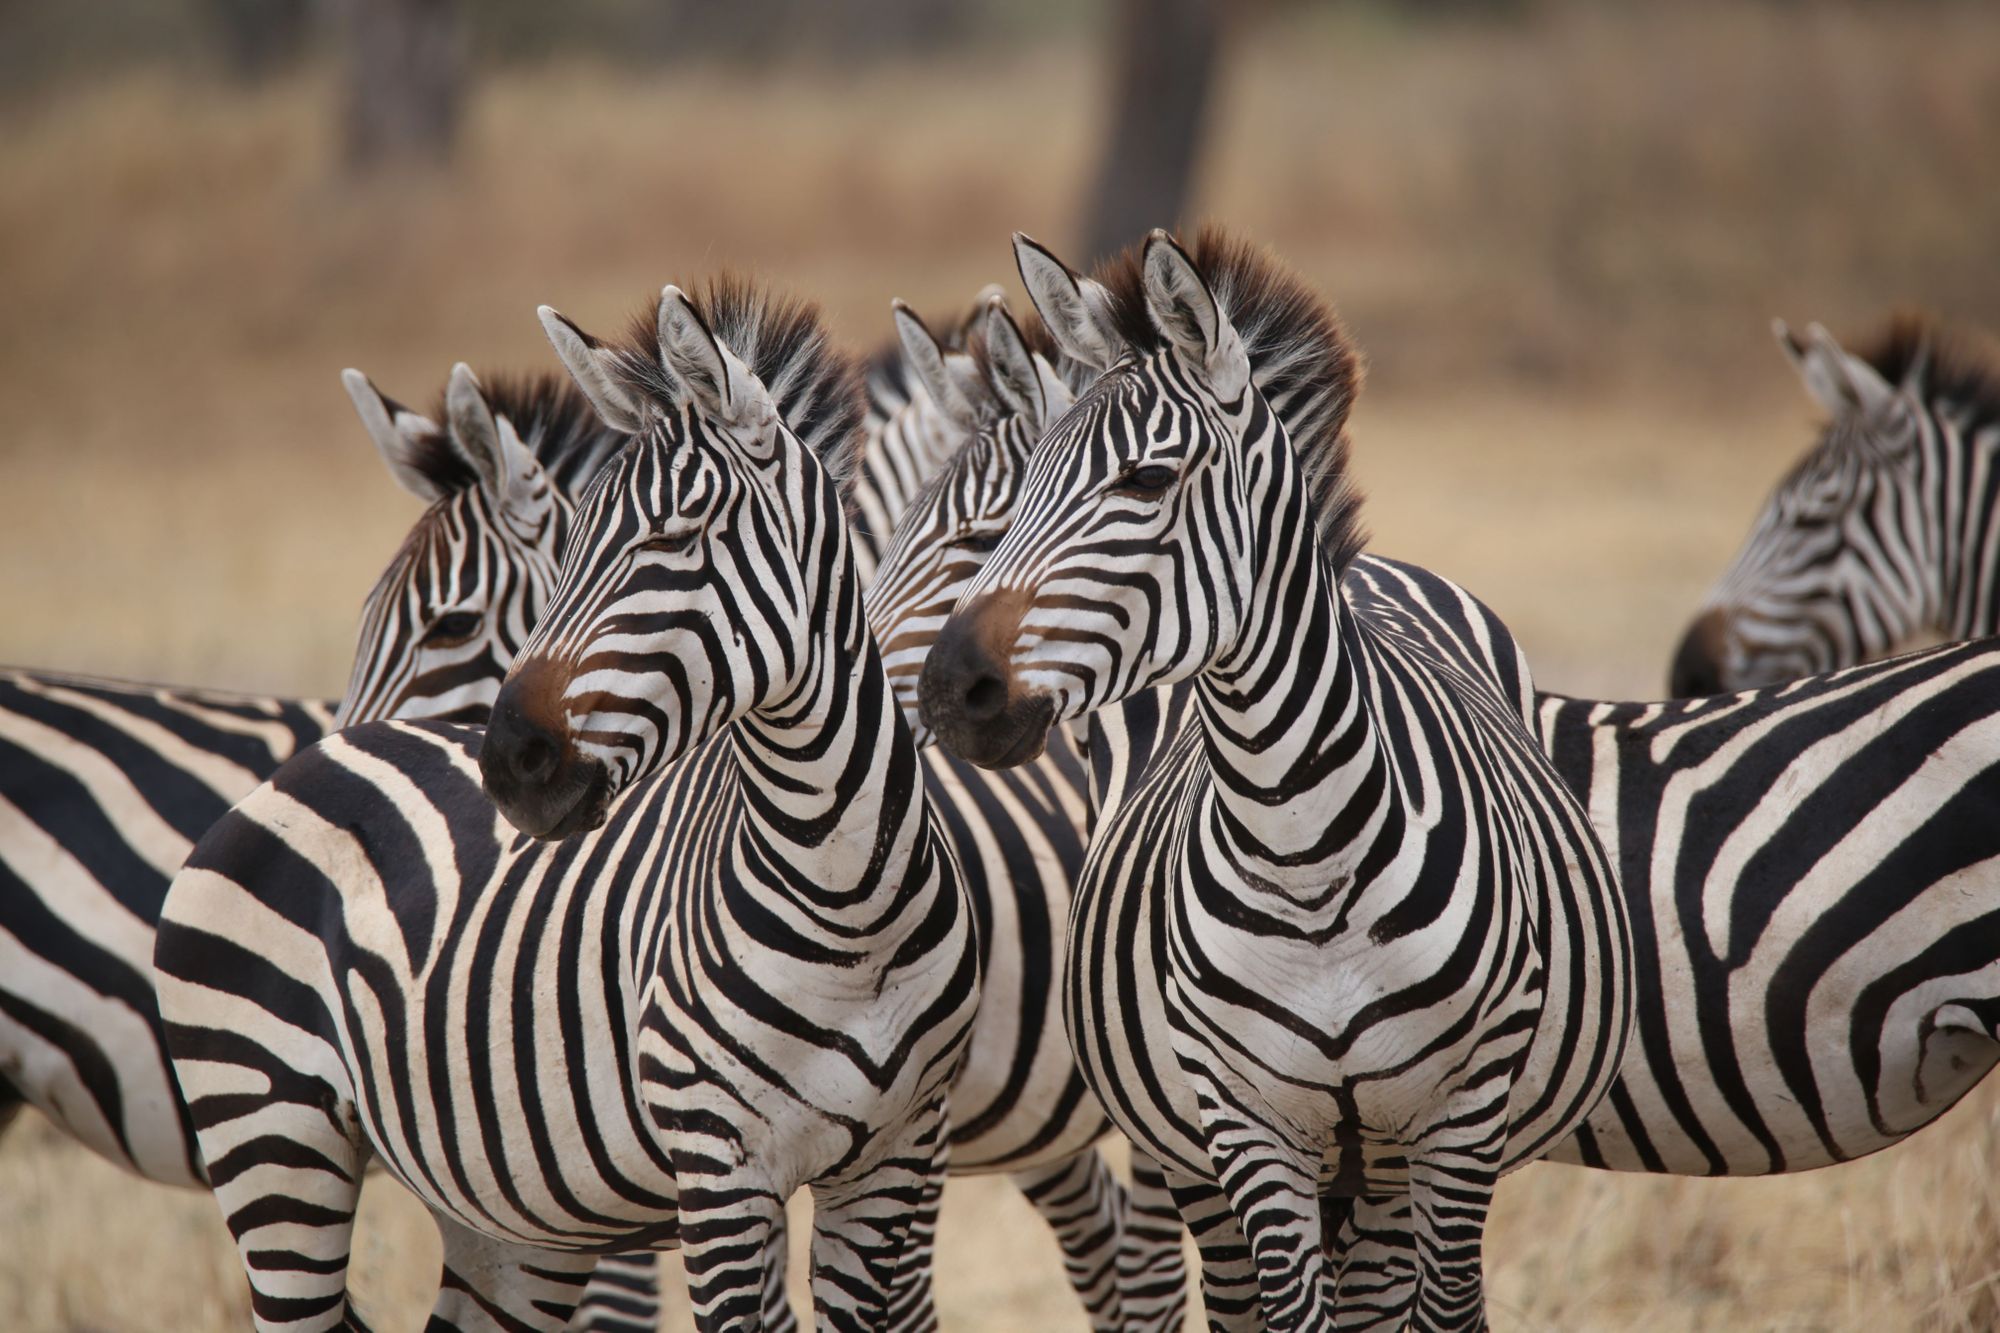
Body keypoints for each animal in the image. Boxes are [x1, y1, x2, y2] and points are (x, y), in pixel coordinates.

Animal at [152, 274, 988, 1320]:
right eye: (578, 539)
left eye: (676, 538)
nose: (513, 760)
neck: (847, 903)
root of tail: (293, 772)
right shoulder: (719, 1171)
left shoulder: (894, 1163)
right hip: (269, 1138)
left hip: (498, 1213)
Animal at [916, 223, 1632, 1320]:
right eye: (1024, 488)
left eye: (1145, 482)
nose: (951, 687)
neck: (1304, 851)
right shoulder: (1248, 1128)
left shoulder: (1458, 1122)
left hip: (1392, 1161)